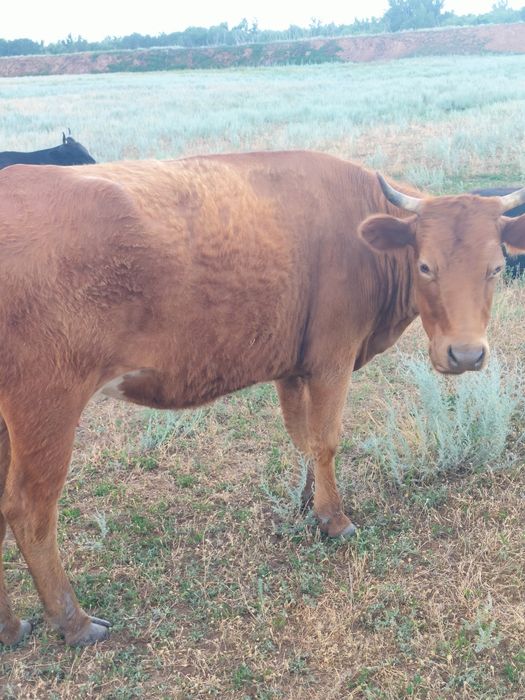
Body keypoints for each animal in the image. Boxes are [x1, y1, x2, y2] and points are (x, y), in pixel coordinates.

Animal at [0, 151, 524, 647]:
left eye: (497, 267)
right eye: (425, 266)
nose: (466, 354)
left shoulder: (292, 368)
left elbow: (303, 440)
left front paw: (308, 503)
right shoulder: (332, 358)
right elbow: (326, 440)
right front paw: (334, 519)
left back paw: (10, 626)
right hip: (46, 405)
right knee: (29, 509)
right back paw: (74, 622)